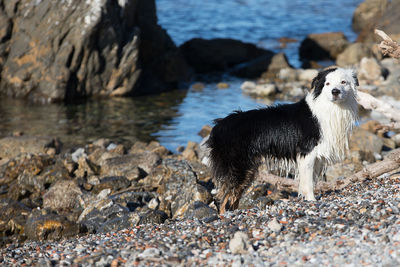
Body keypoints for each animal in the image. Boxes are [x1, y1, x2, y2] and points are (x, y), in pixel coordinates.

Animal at [208, 68, 358, 215]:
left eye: (343, 82)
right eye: (327, 84)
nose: (335, 91)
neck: (328, 107)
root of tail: (218, 126)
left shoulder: (316, 158)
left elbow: (310, 180)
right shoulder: (306, 152)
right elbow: (308, 182)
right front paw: (311, 200)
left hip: (248, 169)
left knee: (233, 196)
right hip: (237, 166)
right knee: (221, 198)